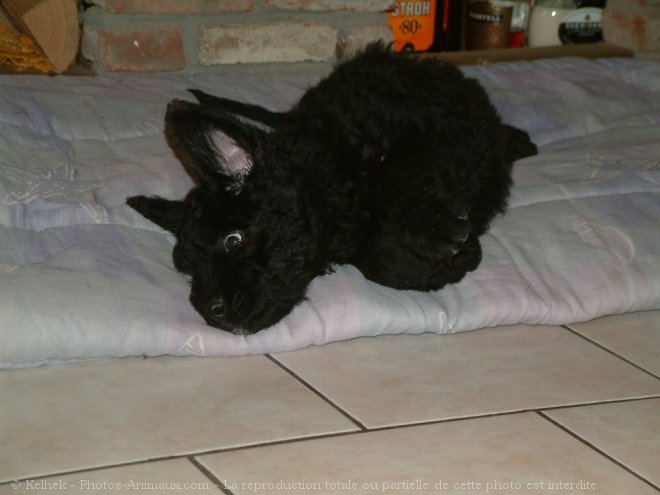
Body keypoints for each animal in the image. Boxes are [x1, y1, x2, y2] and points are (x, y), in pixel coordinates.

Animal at [127, 43, 536, 338]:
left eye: (233, 240)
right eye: (187, 267)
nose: (211, 311)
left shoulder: (423, 134)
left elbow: (404, 177)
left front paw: (438, 236)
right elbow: (380, 264)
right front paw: (439, 265)